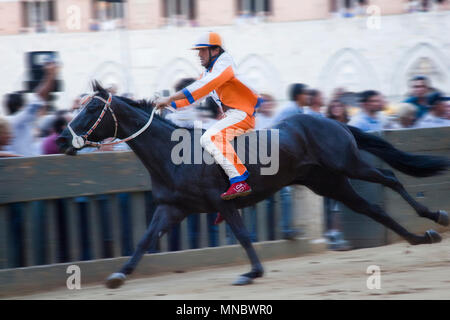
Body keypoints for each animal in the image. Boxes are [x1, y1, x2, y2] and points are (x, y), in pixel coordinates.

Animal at [58, 82, 448, 288]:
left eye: (91, 110)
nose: (62, 138)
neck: (172, 155)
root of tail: (331, 120)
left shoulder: (223, 201)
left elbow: (244, 235)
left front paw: (253, 272)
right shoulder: (173, 208)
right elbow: (143, 240)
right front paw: (118, 275)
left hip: (346, 164)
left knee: (390, 178)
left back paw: (435, 217)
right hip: (330, 183)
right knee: (374, 209)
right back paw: (419, 237)